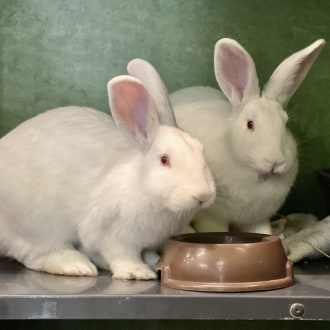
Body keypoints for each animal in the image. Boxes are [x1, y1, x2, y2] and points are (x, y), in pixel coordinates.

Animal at [0, 61, 215, 278]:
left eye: (201, 150)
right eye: (164, 159)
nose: (203, 195)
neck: (140, 186)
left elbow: (146, 253)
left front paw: (153, 262)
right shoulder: (112, 234)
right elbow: (121, 254)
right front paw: (137, 272)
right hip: (38, 225)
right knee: (37, 255)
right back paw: (76, 265)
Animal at [170, 38, 324, 235]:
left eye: (286, 124)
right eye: (250, 124)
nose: (276, 161)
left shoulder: (258, 219)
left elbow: (264, 233)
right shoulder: (212, 217)